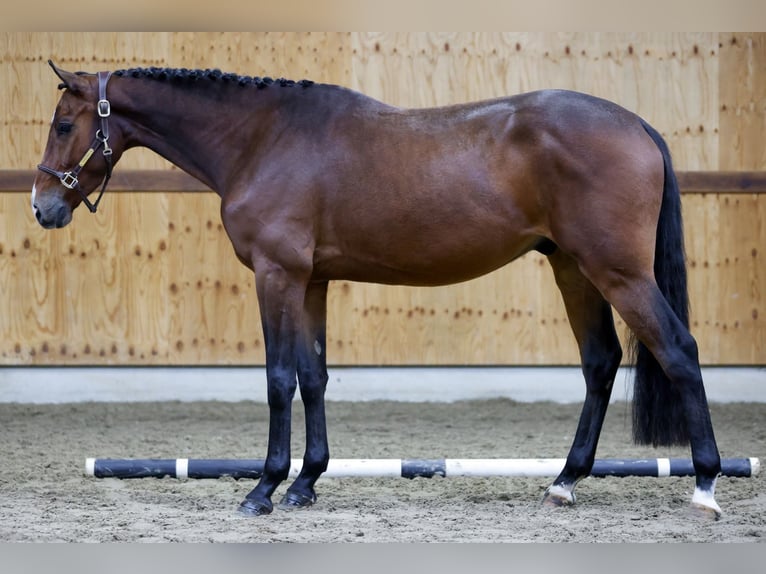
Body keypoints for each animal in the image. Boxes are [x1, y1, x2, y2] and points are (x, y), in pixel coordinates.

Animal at [31, 60, 728, 520]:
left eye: (63, 124)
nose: (42, 207)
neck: (263, 138)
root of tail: (636, 124)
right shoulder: (311, 281)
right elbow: (313, 377)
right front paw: (306, 483)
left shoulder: (277, 275)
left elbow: (278, 378)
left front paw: (264, 489)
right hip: (573, 269)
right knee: (600, 363)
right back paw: (564, 481)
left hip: (618, 273)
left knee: (678, 351)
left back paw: (704, 487)